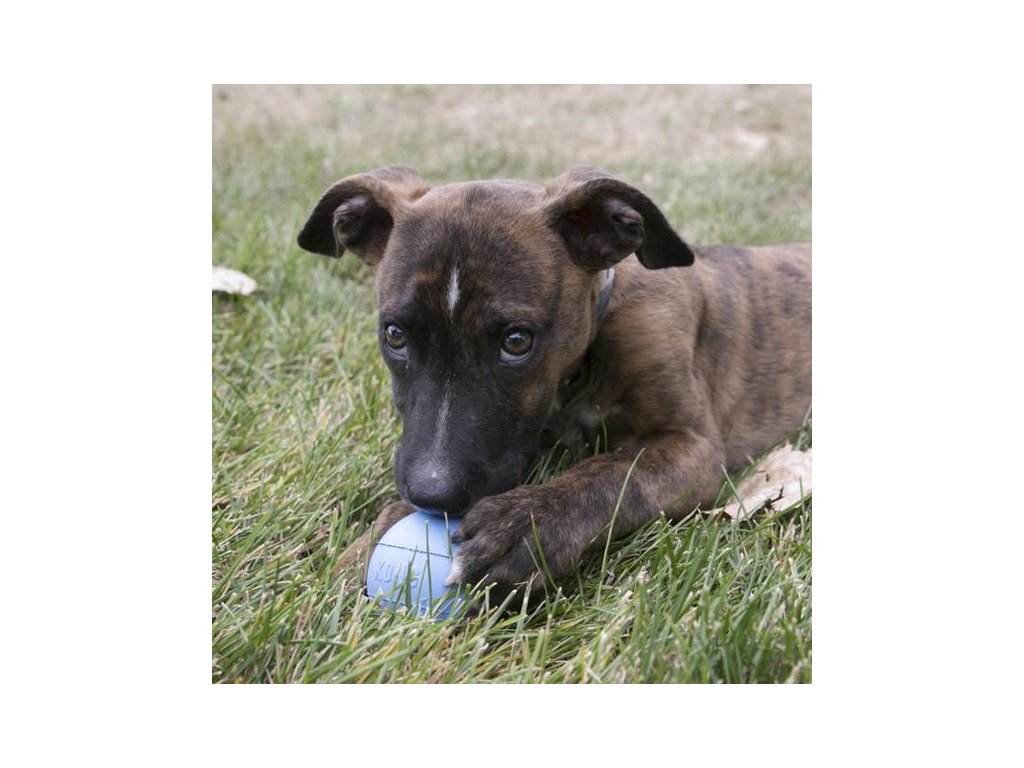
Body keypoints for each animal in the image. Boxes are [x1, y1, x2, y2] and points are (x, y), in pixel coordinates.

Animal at [297, 165, 811, 606]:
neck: (583, 365)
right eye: (395, 335)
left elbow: (614, 472)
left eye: (517, 341)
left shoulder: (694, 447)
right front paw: (364, 549)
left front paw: (526, 527)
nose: (433, 496)